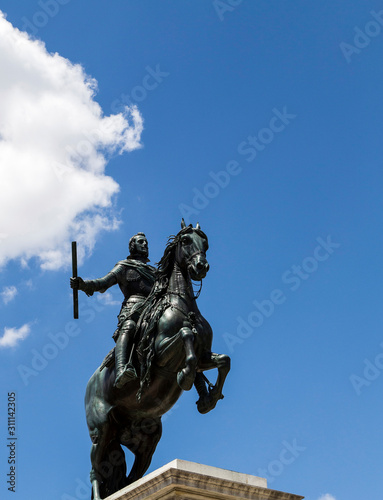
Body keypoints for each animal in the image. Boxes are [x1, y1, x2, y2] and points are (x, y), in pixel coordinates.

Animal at [84, 221, 231, 498]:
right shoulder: (159, 356)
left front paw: (210, 398)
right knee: (96, 470)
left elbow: (223, 360)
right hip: (102, 431)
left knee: (130, 478)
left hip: (144, 441)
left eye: (205, 242)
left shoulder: (205, 355)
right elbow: (186, 335)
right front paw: (185, 376)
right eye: (185, 241)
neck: (182, 304)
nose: (201, 267)